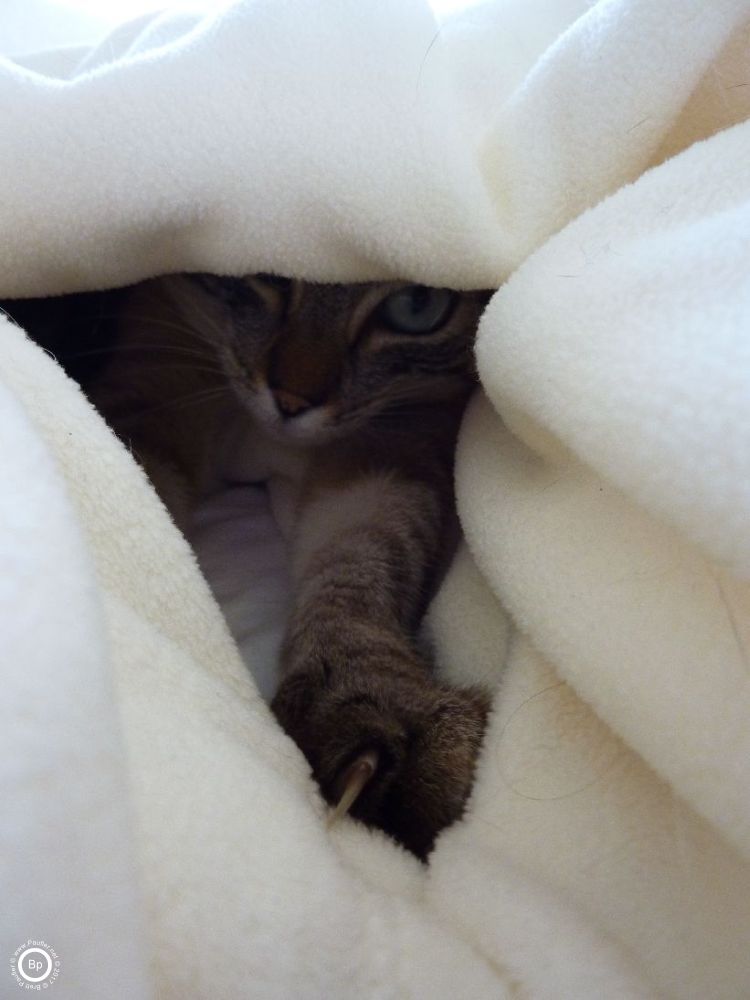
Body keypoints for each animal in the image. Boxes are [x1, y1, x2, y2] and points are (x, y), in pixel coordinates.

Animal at [7, 276, 494, 860]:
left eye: (417, 303)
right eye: (266, 278)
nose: (292, 401)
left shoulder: (395, 444)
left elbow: (361, 565)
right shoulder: (150, 391)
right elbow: (138, 499)